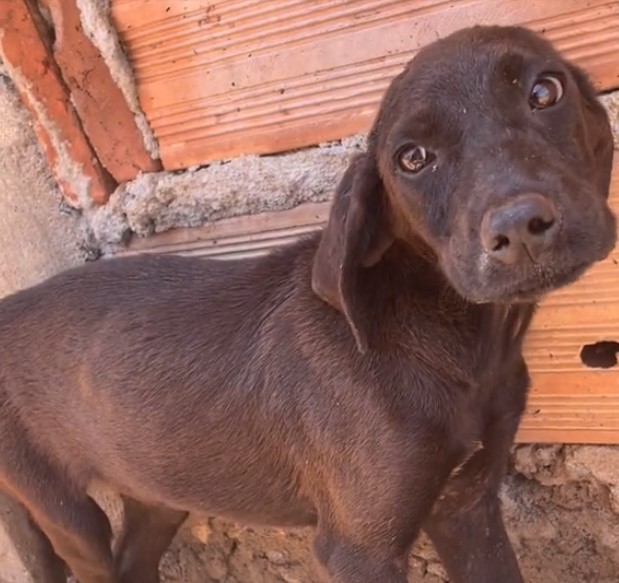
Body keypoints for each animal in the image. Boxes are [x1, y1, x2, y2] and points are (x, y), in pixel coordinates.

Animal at [0, 24, 616, 583]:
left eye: (545, 92)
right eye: (412, 159)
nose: (518, 228)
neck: (458, 339)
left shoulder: (467, 505)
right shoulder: (359, 550)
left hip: (157, 482)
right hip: (59, 503)